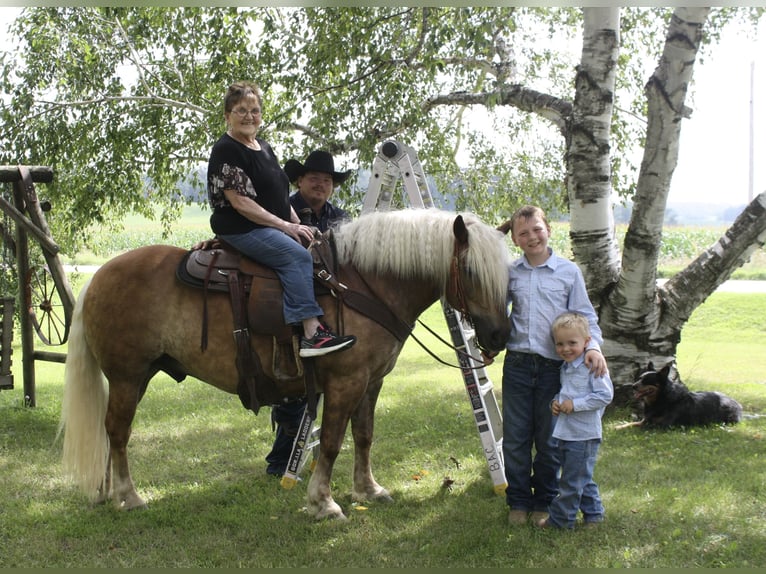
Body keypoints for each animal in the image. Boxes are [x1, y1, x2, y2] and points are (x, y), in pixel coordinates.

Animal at [60, 208, 512, 520]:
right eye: (470, 269)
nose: (499, 337)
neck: (361, 284)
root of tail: (98, 276)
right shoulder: (346, 382)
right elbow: (330, 441)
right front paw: (323, 502)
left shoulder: (371, 382)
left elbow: (364, 436)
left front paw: (367, 490)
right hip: (127, 376)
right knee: (118, 432)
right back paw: (129, 495)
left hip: (135, 378)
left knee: (109, 432)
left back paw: (108, 492)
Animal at [616, 362, 744, 430]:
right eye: (639, 378)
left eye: (647, 380)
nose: (633, 386)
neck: (662, 399)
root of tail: (737, 403)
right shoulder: (646, 419)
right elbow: (632, 423)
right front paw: (619, 426)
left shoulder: (663, 425)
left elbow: (643, 426)